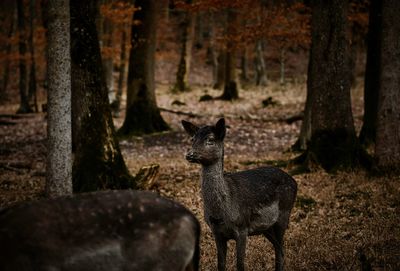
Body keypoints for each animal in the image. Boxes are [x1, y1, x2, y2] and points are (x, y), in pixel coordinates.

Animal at [181, 119, 296, 271]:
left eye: (210, 139)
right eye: (192, 139)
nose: (190, 154)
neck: (222, 213)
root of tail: (294, 181)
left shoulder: (242, 228)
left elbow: (240, 265)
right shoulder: (216, 232)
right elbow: (221, 264)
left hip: (284, 214)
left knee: (281, 250)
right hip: (267, 227)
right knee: (279, 249)